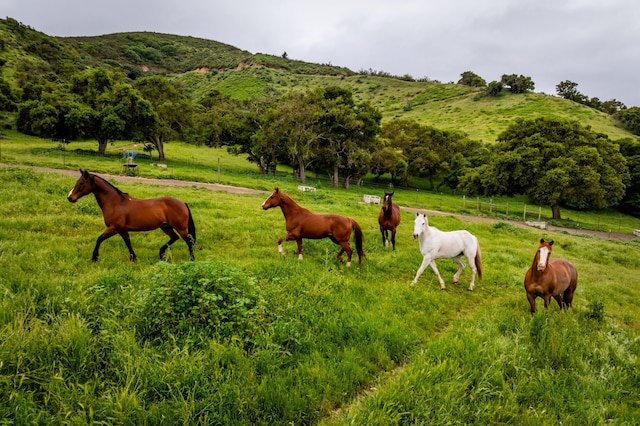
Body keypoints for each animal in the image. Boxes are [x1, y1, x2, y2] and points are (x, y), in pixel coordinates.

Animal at [65, 169, 196, 262]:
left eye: (81, 183)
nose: (70, 197)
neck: (116, 203)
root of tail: (183, 203)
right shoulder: (122, 230)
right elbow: (128, 242)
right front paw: (133, 258)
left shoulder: (114, 228)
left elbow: (99, 239)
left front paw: (94, 258)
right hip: (165, 226)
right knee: (174, 238)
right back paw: (161, 253)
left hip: (180, 228)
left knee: (189, 241)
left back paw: (191, 259)